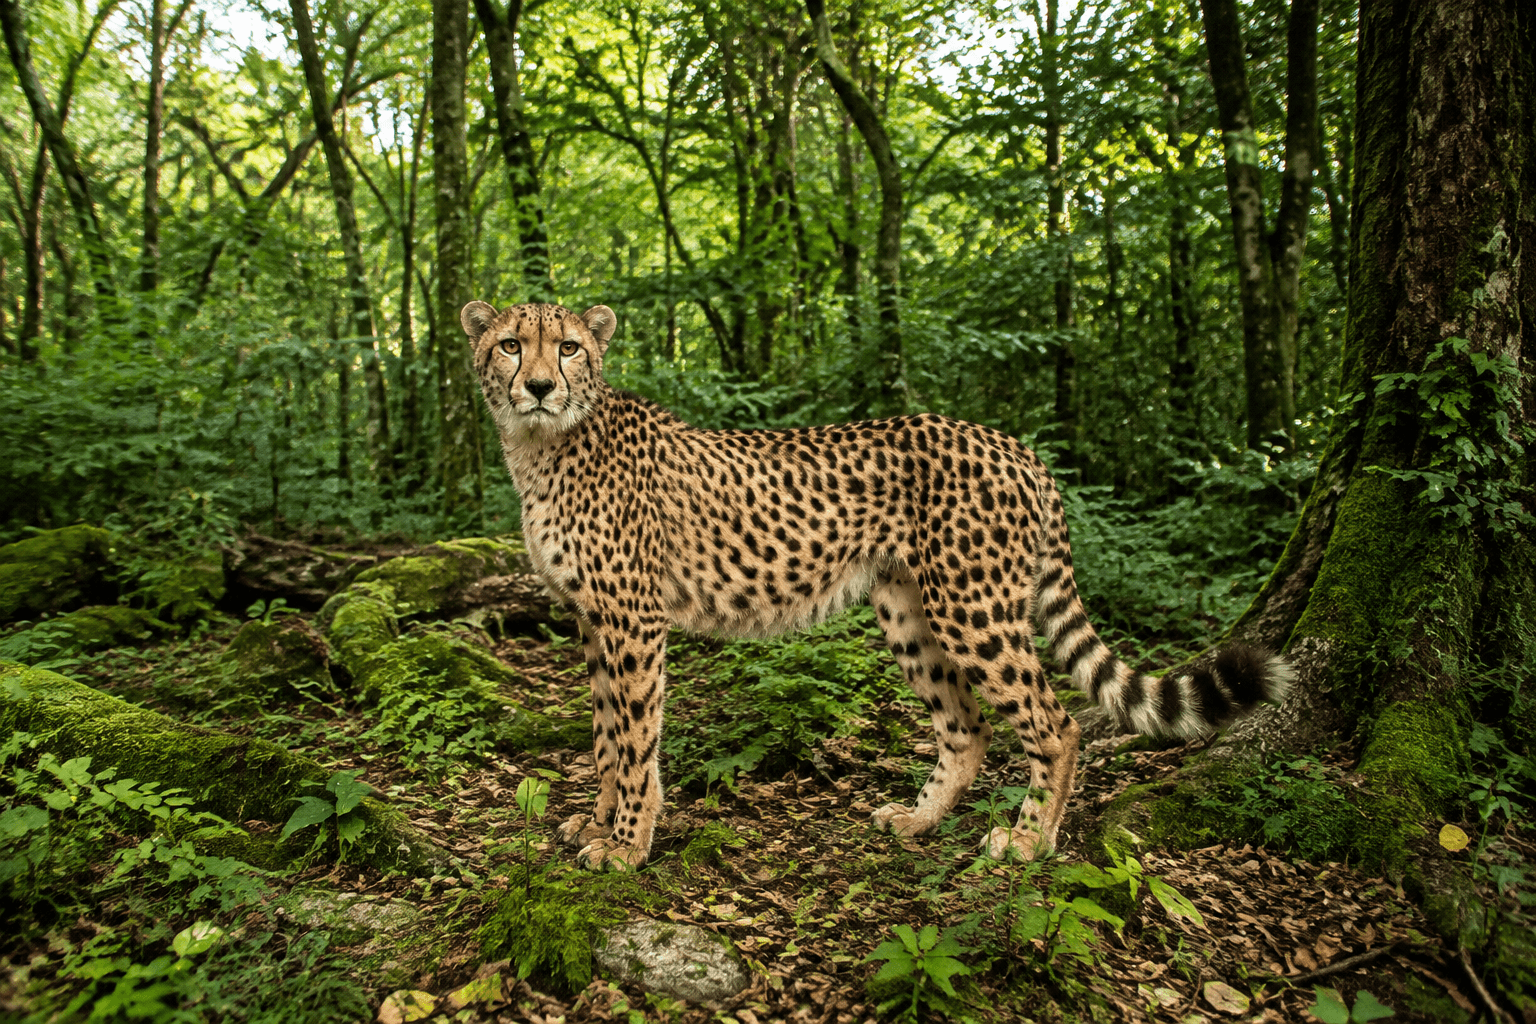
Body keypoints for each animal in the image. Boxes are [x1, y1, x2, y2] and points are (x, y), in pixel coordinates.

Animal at [461, 299, 1292, 871]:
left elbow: (634, 742)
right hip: (909, 611)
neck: (542, 445)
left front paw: (628, 847)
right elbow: (606, 737)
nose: (539, 385)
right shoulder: (592, 621)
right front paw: (599, 823)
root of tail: (1014, 443)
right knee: (967, 728)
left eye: (569, 346)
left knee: (1055, 724)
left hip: (973, 609)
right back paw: (918, 822)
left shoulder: (633, 620)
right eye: (510, 344)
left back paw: (1028, 843)